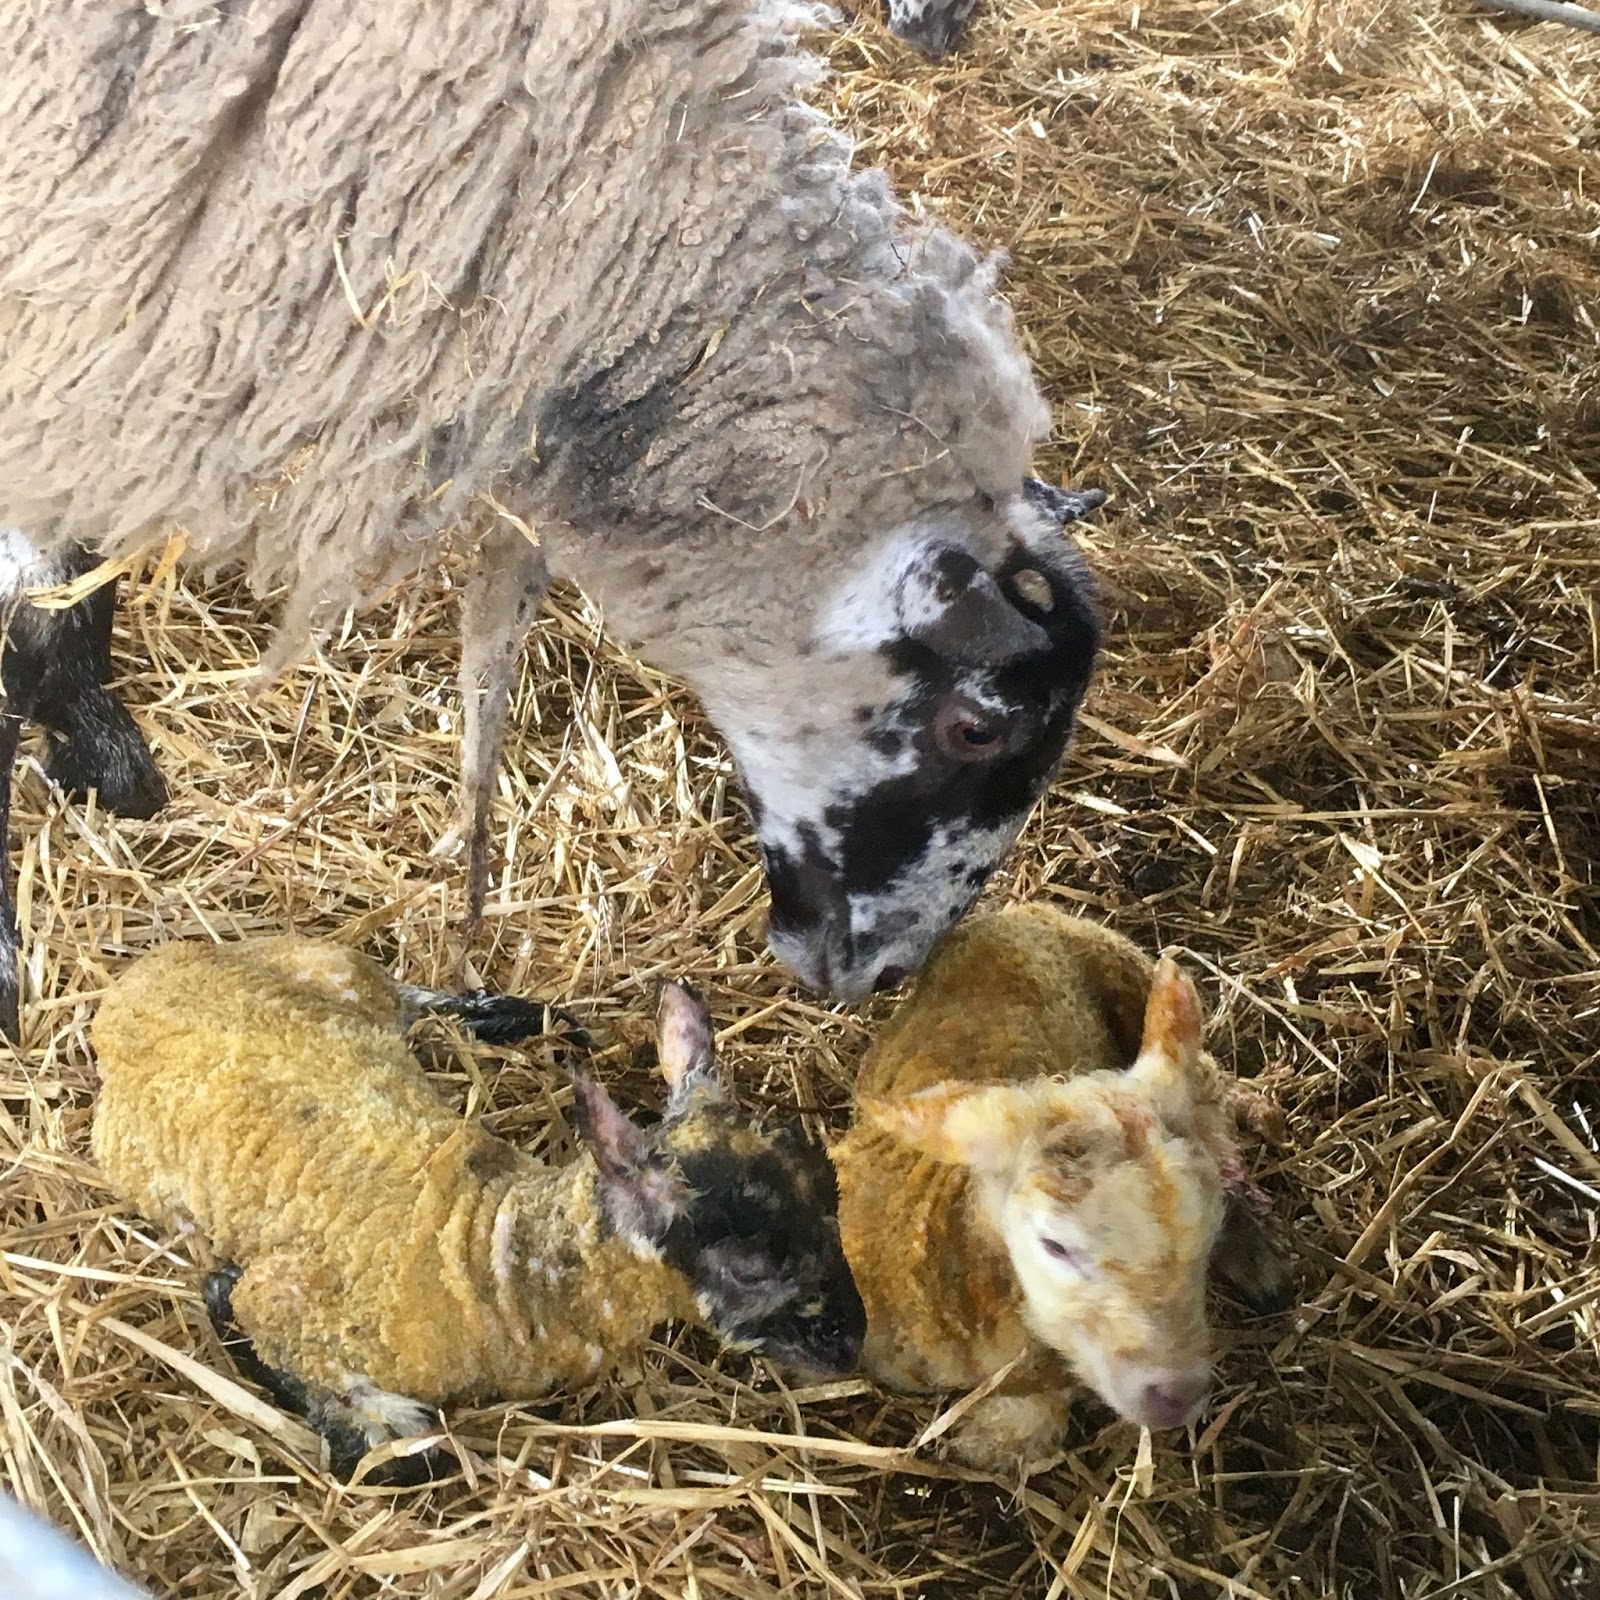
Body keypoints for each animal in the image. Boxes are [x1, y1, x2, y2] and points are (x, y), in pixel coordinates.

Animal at [90, 935, 866, 1479]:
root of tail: (125, 995)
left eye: (832, 1199)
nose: (851, 1343)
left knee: (403, 994)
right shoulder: (283, 1299)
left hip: (328, 964)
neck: (498, 1263)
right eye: (750, 1268)